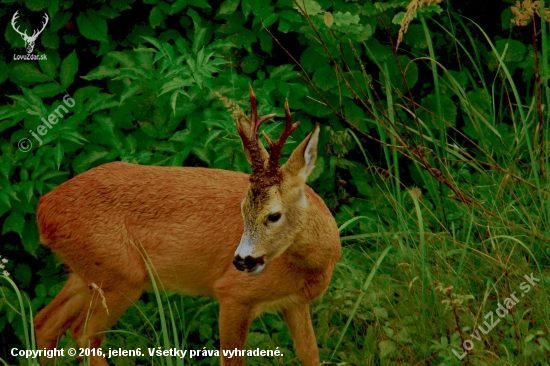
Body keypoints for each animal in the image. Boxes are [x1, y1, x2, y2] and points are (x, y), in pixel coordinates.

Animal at [33, 87, 340, 364]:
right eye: (242, 209)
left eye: (273, 215)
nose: (241, 261)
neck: (313, 267)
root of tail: (44, 208)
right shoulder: (233, 294)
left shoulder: (296, 304)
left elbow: (311, 355)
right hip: (123, 275)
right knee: (84, 334)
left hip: (88, 272)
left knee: (45, 323)